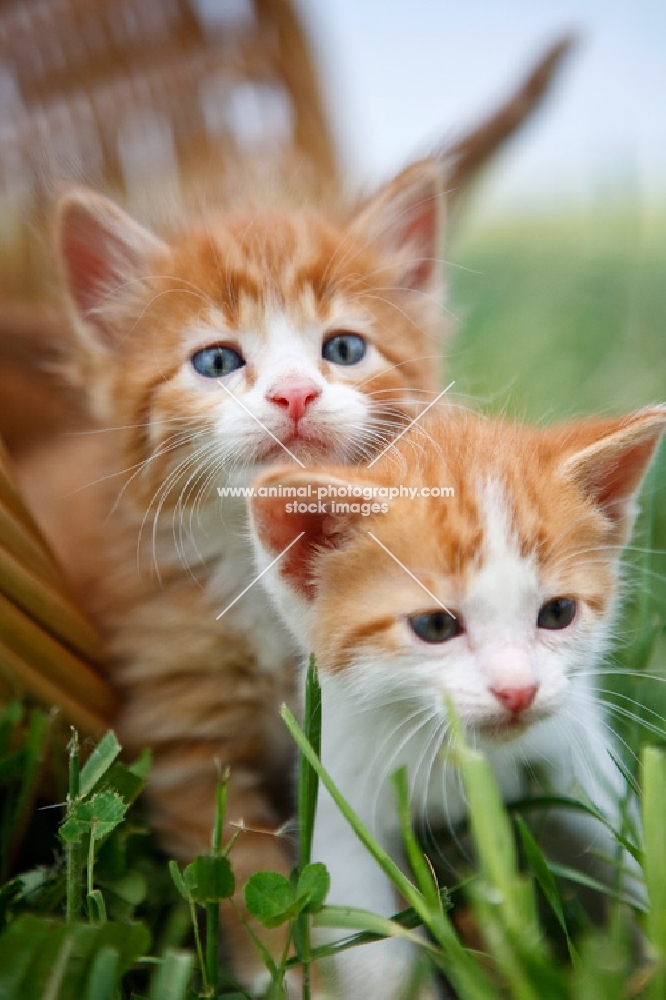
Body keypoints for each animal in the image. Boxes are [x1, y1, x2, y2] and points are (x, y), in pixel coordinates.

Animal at [16, 156, 446, 992]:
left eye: (345, 348)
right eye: (216, 361)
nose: (295, 392)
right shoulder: (184, 737)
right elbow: (242, 873)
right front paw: (293, 975)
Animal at [249, 404, 664, 1000]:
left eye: (558, 613)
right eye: (436, 626)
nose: (518, 690)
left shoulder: (576, 755)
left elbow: (628, 854)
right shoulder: (339, 788)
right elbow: (378, 956)